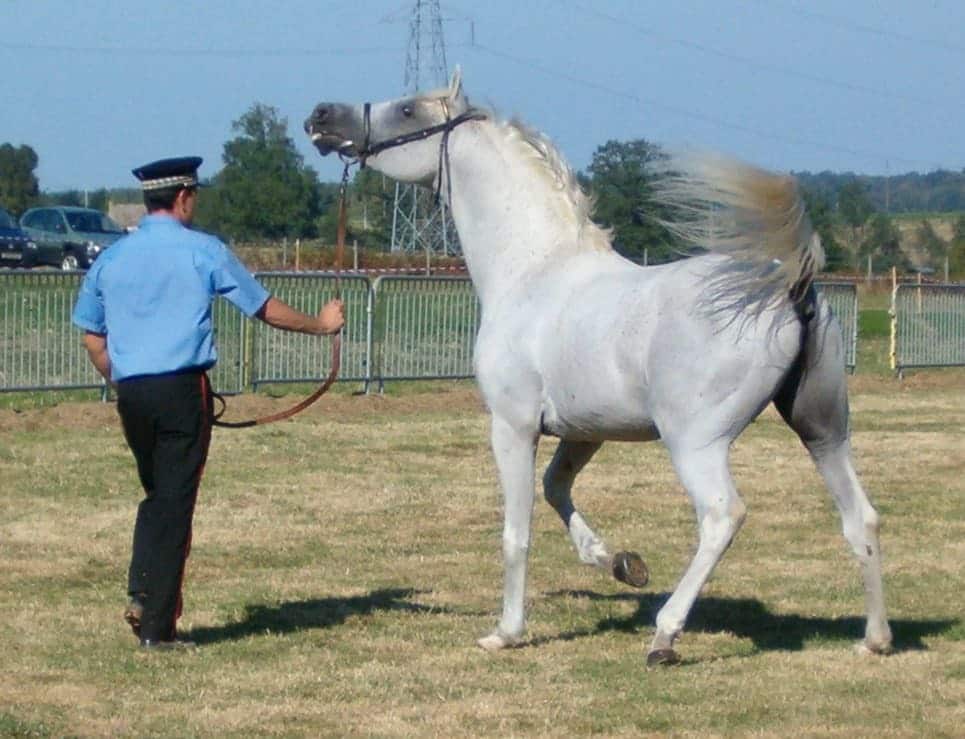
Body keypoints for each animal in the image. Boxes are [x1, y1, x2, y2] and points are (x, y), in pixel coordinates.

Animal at [304, 69, 893, 666]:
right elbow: (555, 490)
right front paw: (622, 564)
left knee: (722, 516)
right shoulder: (585, 431)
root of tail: (788, 288)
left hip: (696, 443)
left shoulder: (513, 427)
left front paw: (506, 631)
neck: (533, 271)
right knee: (859, 517)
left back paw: (664, 637)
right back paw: (875, 639)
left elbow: (517, 531)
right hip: (821, 431)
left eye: (407, 110)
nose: (321, 116)